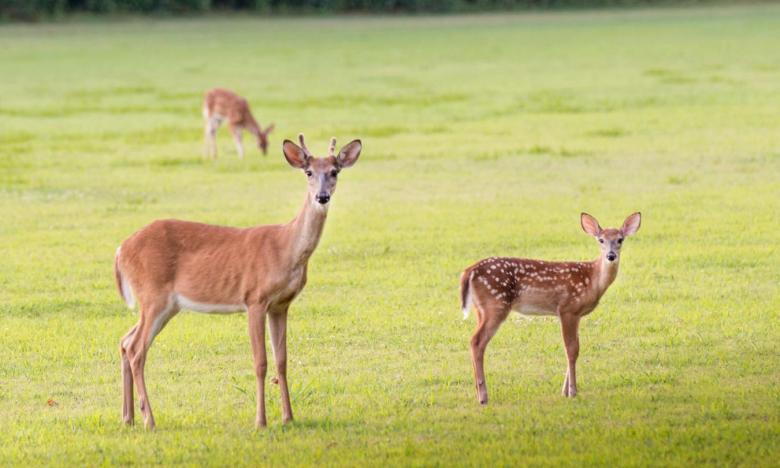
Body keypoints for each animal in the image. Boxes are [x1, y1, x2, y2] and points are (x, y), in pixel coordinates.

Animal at [115, 133, 362, 430]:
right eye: (309, 172)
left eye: (334, 171)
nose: (322, 196)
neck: (286, 247)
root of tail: (121, 249)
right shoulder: (255, 298)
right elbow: (260, 362)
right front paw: (261, 421)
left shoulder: (281, 305)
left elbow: (282, 361)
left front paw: (288, 417)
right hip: (154, 296)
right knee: (137, 349)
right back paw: (149, 419)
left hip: (165, 305)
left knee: (125, 341)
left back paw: (128, 417)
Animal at [458, 210, 640, 404]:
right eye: (601, 240)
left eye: (620, 239)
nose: (611, 256)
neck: (592, 280)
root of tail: (469, 271)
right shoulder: (568, 308)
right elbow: (571, 349)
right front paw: (572, 391)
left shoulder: (576, 314)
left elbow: (575, 348)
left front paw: (564, 391)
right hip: (496, 304)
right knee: (477, 341)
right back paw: (483, 397)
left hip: (481, 309)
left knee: (474, 341)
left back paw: (478, 393)